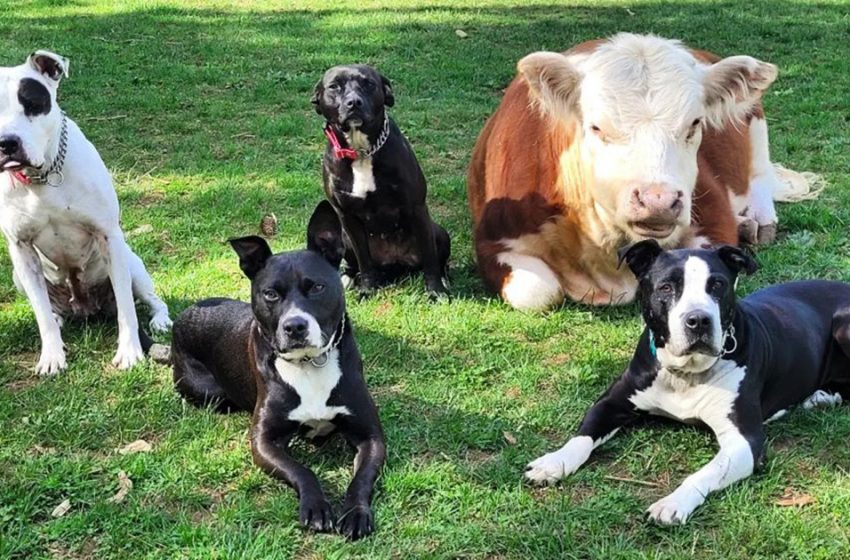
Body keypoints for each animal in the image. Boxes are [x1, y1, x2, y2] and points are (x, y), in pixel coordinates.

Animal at [0, 50, 172, 374]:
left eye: (31, 104)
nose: (7, 142)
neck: (44, 178)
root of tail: (85, 306)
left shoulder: (108, 237)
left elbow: (127, 310)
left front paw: (130, 352)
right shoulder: (21, 248)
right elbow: (41, 313)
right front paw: (51, 356)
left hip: (133, 265)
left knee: (151, 300)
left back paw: (160, 320)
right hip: (19, 276)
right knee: (48, 308)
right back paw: (58, 320)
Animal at [169, 200, 384, 540]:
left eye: (317, 287)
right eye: (270, 294)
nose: (295, 326)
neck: (309, 363)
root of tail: (184, 314)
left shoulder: (371, 435)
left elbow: (362, 478)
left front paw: (355, 512)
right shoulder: (263, 441)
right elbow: (302, 470)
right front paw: (316, 506)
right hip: (207, 391)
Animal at [308, 64, 448, 298]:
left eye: (369, 83)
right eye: (334, 86)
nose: (353, 102)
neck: (361, 152)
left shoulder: (417, 208)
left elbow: (430, 259)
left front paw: (436, 292)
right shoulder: (346, 216)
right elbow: (364, 261)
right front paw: (367, 288)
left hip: (438, 232)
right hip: (344, 238)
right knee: (355, 264)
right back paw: (348, 278)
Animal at [468, 34, 820, 310]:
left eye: (695, 123)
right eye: (596, 127)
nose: (658, 201)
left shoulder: (713, 217)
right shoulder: (494, 240)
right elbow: (537, 292)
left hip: (754, 117)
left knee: (759, 174)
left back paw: (758, 221)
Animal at [524, 241, 848, 524]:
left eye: (717, 285)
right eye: (666, 287)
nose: (698, 320)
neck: (685, 374)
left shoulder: (745, 441)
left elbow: (706, 472)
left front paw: (673, 503)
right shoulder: (613, 402)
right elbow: (582, 436)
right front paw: (553, 463)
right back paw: (821, 396)